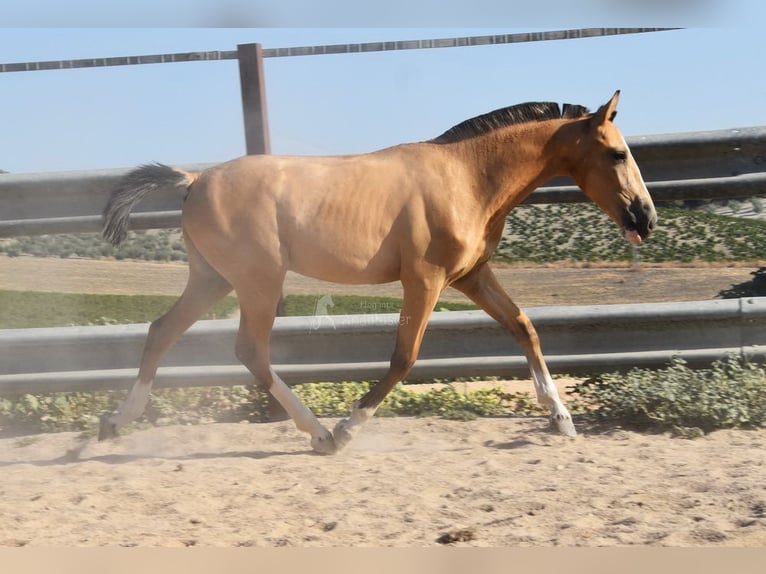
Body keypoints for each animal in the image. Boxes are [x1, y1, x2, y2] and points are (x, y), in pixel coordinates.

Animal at [99, 92, 656, 456]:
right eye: (617, 153)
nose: (646, 219)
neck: (466, 178)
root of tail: (194, 180)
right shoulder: (425, 280)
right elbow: (403, 358)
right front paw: (350, 427)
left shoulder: (472, 276)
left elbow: (524, 326)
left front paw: (562, 419)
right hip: (258, 281)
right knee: (249, 351)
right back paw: (321, 434)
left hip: (213, 278)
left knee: (162, 331)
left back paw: (115, 423)